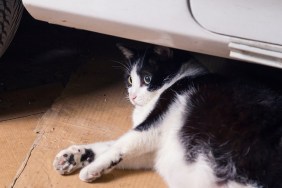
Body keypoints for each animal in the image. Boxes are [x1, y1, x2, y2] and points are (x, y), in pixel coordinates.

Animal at [53, 44, 282, 188]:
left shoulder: (154, 125)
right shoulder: (156, 149)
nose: (133, 96)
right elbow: (111, 146)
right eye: (130, 80)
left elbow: (121, 144)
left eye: (147, 78)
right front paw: (73, 157)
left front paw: (90, 169)